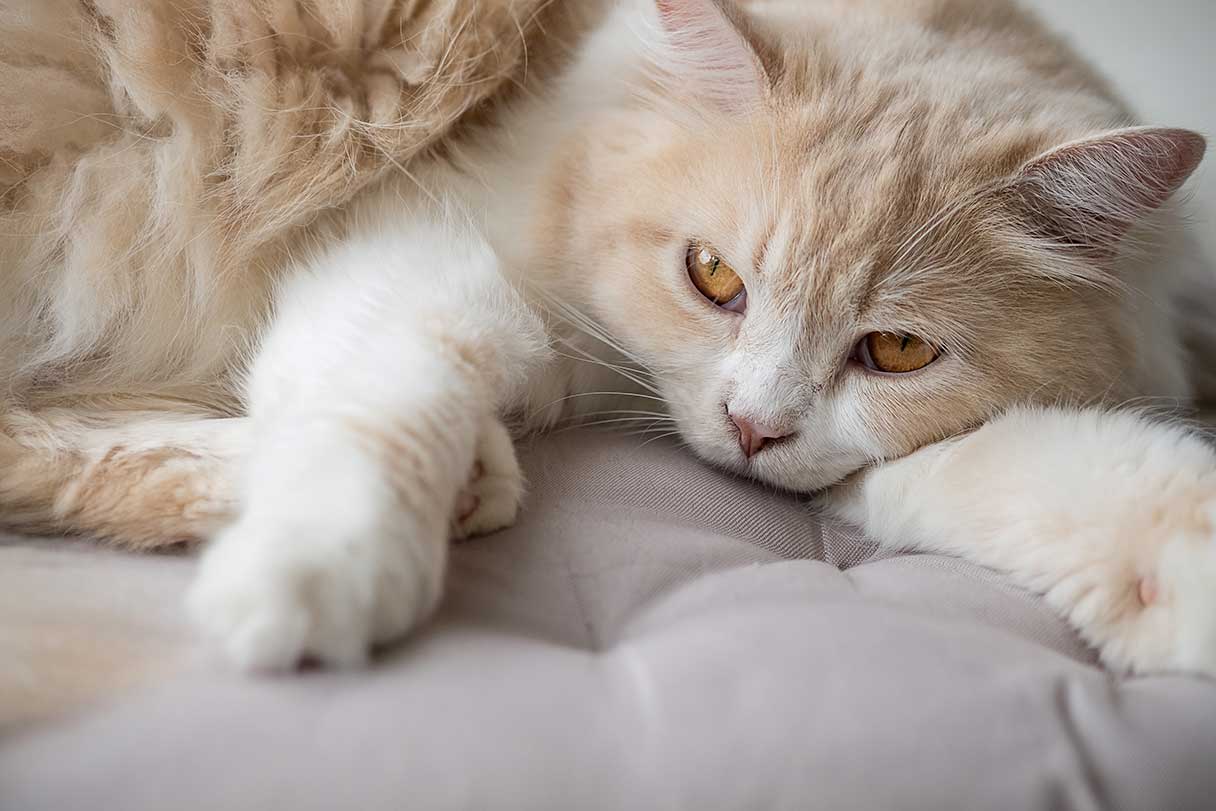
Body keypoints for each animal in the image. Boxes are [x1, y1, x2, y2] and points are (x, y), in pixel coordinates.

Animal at [2, 0, 1216, 676]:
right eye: (714, 277)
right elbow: (388, 411)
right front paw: (314, 574)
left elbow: (1081, 482)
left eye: (898, 354)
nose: (752, 429)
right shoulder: (423, 247)